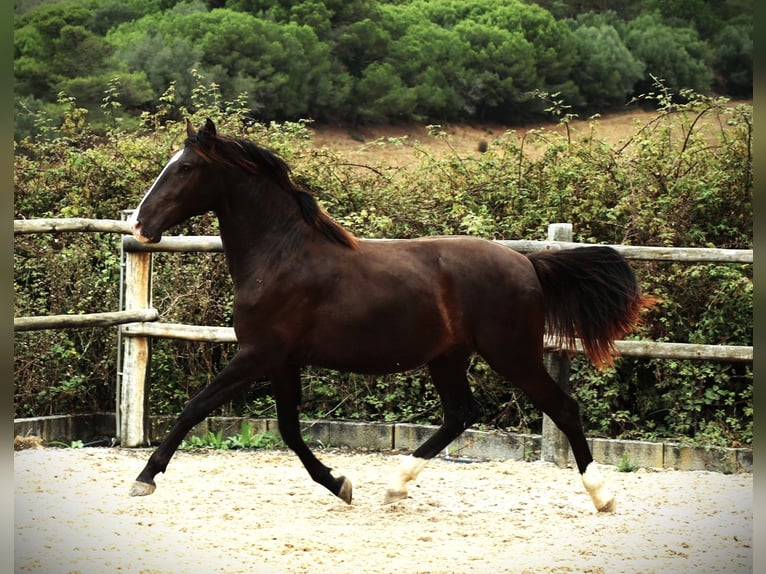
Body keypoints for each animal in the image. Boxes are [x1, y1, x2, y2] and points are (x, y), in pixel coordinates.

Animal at [126, 117, 656, 512]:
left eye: (186, 167)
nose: (139, 224)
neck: (281, 256)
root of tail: (527, 262)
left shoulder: (257, 354)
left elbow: (196, 407)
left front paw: (145, 477)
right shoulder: (281, 360)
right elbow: (290, 430)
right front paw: (339, 483)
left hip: (512, 354)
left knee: (563, 409)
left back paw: (602, 496)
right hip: (449, 358)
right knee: (461, 414)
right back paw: (396, 484)